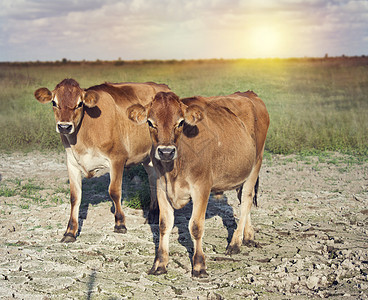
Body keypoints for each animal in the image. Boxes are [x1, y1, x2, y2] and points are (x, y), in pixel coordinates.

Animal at [34, 78, 170, 243]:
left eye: (80, 104)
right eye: (54, 102)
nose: (64, 126)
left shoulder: (117, 158)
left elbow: (114, 191)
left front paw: (120, 224)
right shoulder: (71, 163)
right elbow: (75, 197)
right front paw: (70, 232)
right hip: (148, 157)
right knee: (153, 178)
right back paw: (152, 214)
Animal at [128, 91, 268, 276]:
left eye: (180, 122)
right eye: (150, 122)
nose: (166, 152)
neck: (174, 168)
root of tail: (248, 94)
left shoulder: (202, 187)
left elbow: (195, 226)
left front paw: (199, 265)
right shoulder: (161, 187)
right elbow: (164, 225)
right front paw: (160, 264)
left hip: (256, 163)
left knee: (246, 200)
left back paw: (235, 243)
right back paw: (248, 236)